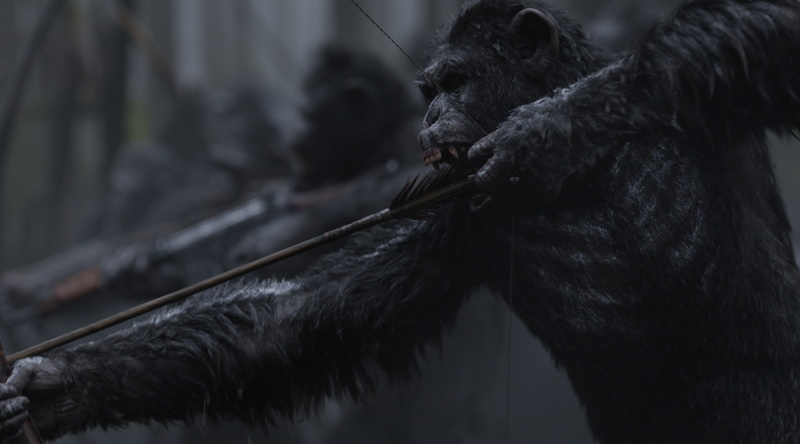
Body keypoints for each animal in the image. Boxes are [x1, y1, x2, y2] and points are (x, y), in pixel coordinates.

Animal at [2, 0, 800, 442]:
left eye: (457, 80)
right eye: (429, 88)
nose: (431, 119)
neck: (585, 181)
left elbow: (766, 26)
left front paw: (546, 128)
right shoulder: (456, 224)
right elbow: (300, 318)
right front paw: (51, 387)